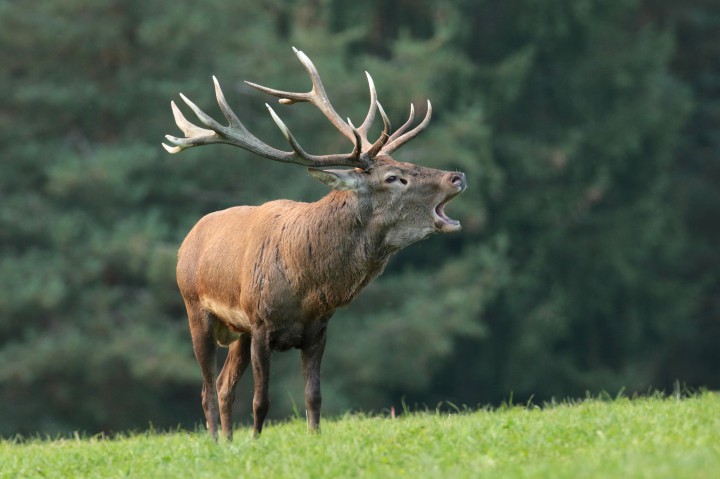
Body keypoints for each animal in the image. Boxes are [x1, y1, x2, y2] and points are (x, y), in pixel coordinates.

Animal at [163, 47, 466, 440]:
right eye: (393, 177)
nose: (457, 176)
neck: (306, 285)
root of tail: (187, 241)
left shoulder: (317, 329)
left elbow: (313, 397)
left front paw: (313, 439)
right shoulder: (260, 324)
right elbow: (261, 400)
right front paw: (257, 442)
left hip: (237, 332)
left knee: (223, 385)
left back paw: (229, 442)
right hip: (196, 309)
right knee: (206, 390)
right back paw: (216, 441)